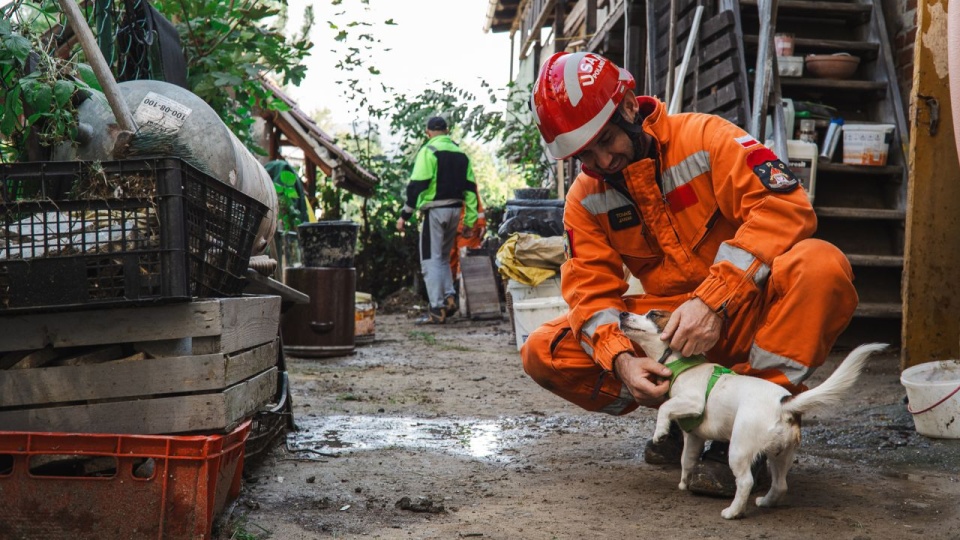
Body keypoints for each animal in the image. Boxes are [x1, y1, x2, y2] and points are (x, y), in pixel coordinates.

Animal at [620, 310, 888, 520]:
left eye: (653, 315)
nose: (622, 313)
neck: (682, 365)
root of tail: (783, 404)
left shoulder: (693, 403)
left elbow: (665, 408)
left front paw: (660, 432)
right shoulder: (694, 436)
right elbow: (687, 460)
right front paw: (684, 483)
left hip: (739, 449)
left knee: (746, 482)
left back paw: (733, 512)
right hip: (780, 455)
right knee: (780, 485)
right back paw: (766, 502)